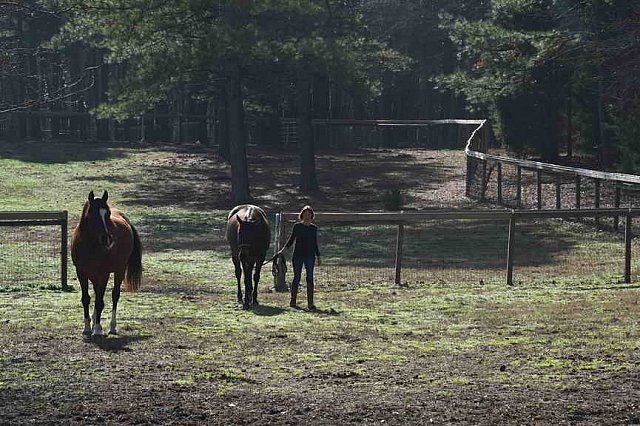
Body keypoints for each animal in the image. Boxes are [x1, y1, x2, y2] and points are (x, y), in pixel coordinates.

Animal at [72, 191, 143, 338]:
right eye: (92, 212)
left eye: (108, 213)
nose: (107, 239)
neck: (89, 245)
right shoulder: (81, 272)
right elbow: (86, 298)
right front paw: (87, 327)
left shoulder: (103, 273)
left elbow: (100, 301)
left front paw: (98, 329)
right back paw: (94, 320)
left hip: (119, 270)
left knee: (115, 295)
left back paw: (112, 327)